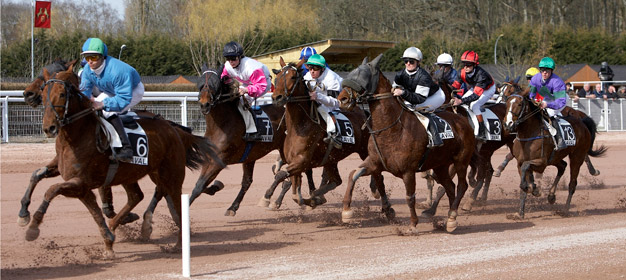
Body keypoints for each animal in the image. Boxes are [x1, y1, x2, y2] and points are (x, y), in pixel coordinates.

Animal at [30, 65, 223, 258]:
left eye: (62, 94)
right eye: (44, 93)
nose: (49, 128)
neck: (78, 136)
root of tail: (173, 128)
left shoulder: (82, 181)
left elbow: (51, 190)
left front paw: (32, 226)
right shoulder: (80, 184)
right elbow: (92, 209)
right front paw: (109, 242)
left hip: (171, 176)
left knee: (174, 201)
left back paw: (177, 243)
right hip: (134, 173)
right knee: (139, 195)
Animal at [262, 57, 376, 210]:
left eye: (292, 77)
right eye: (277, 77)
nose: (277, 97)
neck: (300, 126)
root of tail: (365, 114)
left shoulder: (302, 161)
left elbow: (281, 176)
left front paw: (267, 197)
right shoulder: (295, 162)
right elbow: (293, 190)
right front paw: (310, 199)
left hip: (364, 150)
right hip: (331, 159)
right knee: (336, 180)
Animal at [336, 53, 472, 233]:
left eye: (363, 75)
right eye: (352, 72)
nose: (342, 99)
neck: (391, 128)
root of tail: (462, 121)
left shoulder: (408, 171)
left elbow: (410, 197)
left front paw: (413, 224)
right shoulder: (375, 163)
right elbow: (353, 174)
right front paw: (346, 211)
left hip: (461, 160)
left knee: (462, 186)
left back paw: (452, 216)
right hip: (440, 165)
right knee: (450, 187)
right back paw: (451, 217)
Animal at [498, 82, 604, 218]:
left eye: (520, 104)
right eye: (507, 102)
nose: (508, 124)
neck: (528, 134)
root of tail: (582, 122)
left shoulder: (541, 162)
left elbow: (526, 171)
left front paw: (533, 189)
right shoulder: (520, 163)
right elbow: (524, 180)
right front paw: (520, 213)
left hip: (576, 156)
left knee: (572, 183)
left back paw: (565, 210)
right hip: (555, 157)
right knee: (562, 166)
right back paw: (551, 196)